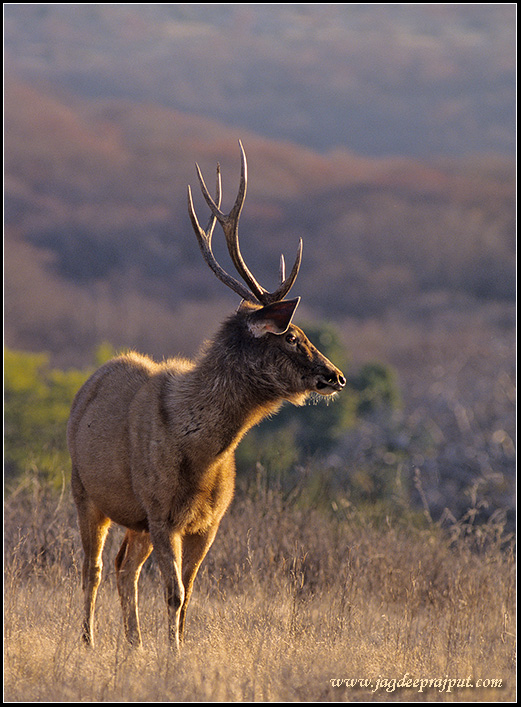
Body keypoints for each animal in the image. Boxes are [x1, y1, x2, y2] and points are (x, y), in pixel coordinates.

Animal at [67, 141, 346, 651]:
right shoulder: (161, 510)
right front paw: (173, 653)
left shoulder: (207, 521)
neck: (200, 452)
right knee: (92, 568)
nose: (336, 376)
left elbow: (190, 593)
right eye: (293, 336)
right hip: (86, 490)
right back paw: (89, 640)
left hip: (135, 520)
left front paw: (175, 648)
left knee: (123, 568)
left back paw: (134, 644)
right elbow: (174, 592)